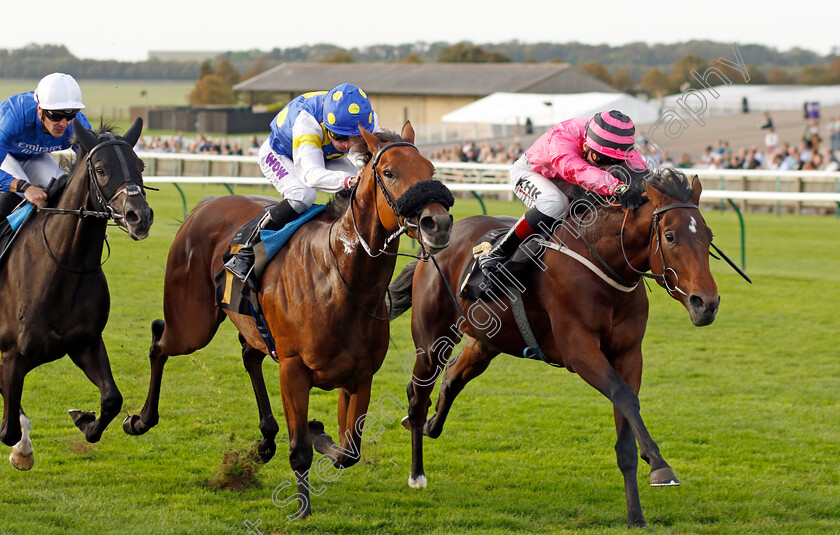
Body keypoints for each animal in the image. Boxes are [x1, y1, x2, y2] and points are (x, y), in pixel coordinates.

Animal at [0, 119, 153, 472]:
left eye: (140, 165)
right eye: (100, 168)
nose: (140, 216)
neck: (64, 267)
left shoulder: (85, 342)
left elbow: (112, 399)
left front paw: (84, 419)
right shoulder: (12, 355)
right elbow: (9, 426)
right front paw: (21, 447)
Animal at [124, 122, 452, 520]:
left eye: (431, 169)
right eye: (389, 173)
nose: (438, 223)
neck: (340, 278)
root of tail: (205, 205)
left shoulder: (360, 375)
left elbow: (349, 451)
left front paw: (317, 432)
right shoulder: (294, 370)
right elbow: (300, 452)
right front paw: (302, 508)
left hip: (248, 324)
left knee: (249, 356)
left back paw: (266, 439)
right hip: (192, 325)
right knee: (160, 341)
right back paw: (140, 419)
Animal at [390, 168, 720, 528]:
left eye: (709, 236)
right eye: (670, 236)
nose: (706, 303)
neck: (604, 262)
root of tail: (437, 243)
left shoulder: (629, 356)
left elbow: (626, 426)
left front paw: (636, 515)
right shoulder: (579, 350)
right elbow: (623, 396)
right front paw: (661, 467)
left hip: (485, 341)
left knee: (452, 379)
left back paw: (432, 426)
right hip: (432, 341)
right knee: (417, 396)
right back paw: (417, 473)